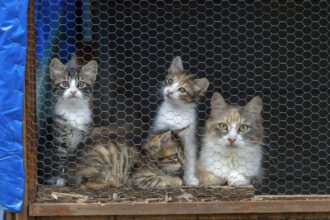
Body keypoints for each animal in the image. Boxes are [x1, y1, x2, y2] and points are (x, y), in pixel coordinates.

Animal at [47, 55, 98, 186]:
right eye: (65, 84)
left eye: (81, 84)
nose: (73, 91)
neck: (73, 110)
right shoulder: (60, 142)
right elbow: (61, 163)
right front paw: (61, 180)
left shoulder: (84, 139)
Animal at [152, 56, 209, 186]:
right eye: (170, 81)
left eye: (182, 90)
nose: (169, 92)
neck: (175, 110)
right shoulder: (159, 128)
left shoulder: (189, 139)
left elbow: (189, 159)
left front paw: (190, 179)